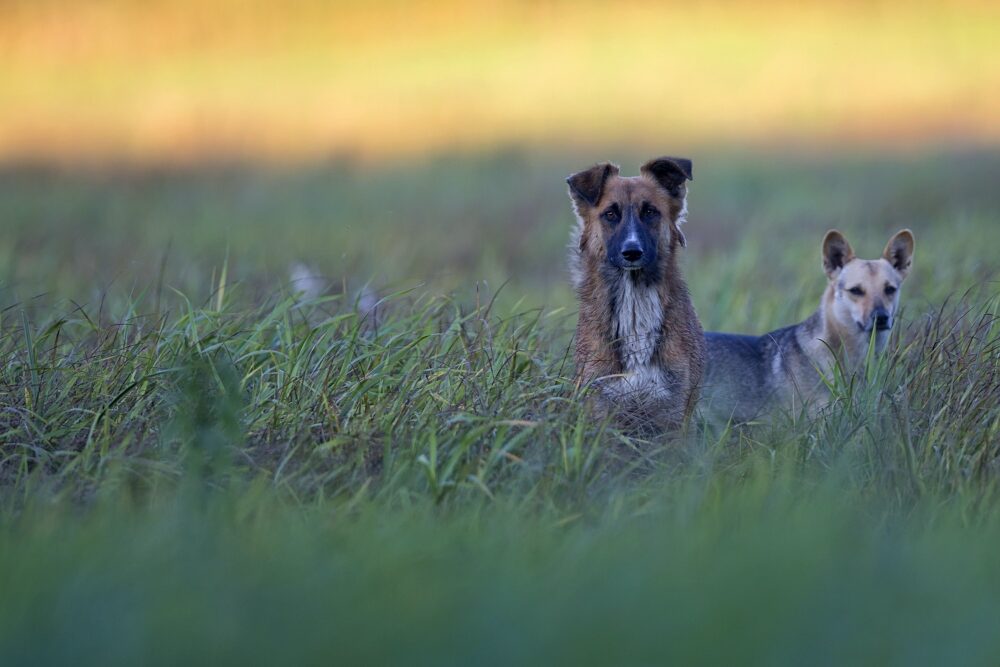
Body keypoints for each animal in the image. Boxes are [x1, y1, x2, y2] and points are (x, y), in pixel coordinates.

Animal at [564, 159, 712, 430]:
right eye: (610, 214)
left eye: (650, 212)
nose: (632, 252)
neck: (634, 303)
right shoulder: (600, 407)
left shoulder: (672, 412)